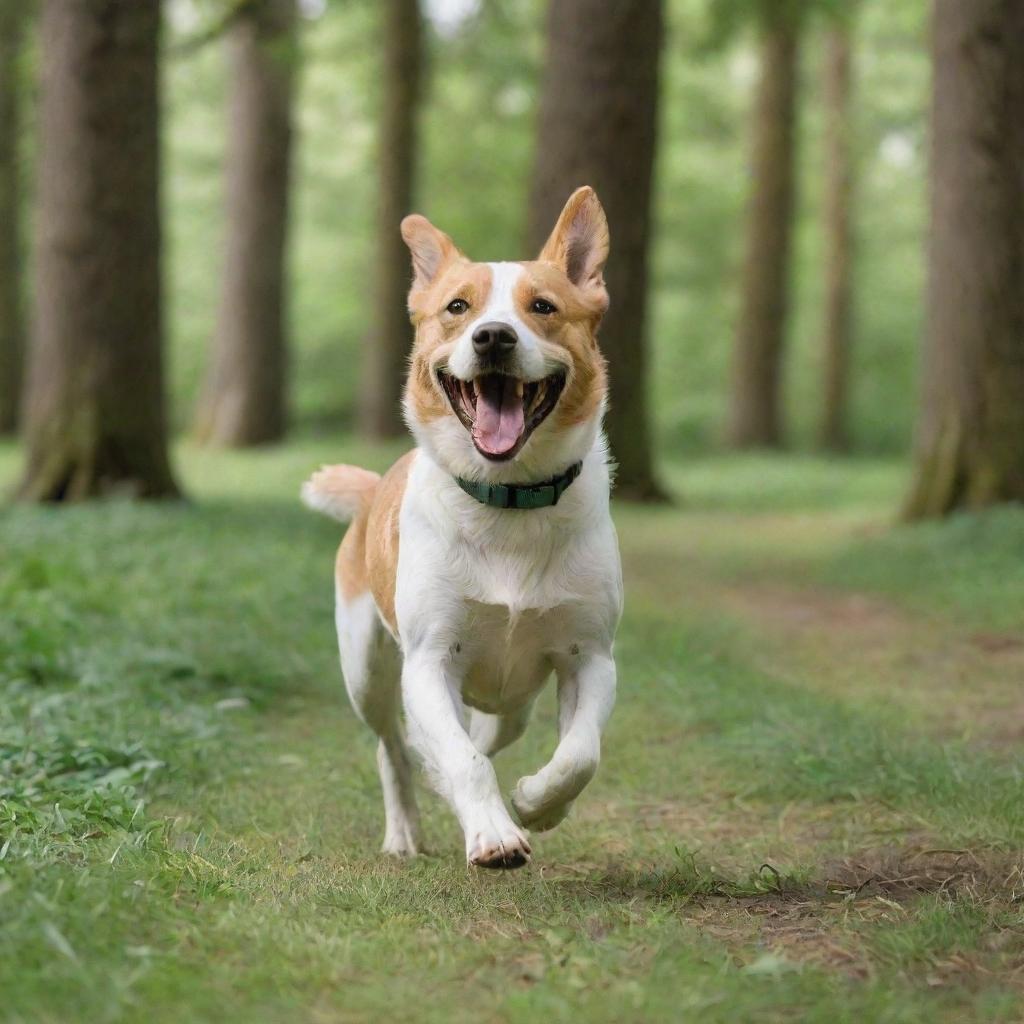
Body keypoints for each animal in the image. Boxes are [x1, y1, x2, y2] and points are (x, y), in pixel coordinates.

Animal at [301, 188, 622, 868]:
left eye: (542, 307)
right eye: (457, 306)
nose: (494, 336)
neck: (507, 500)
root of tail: (373, 487)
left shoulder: (590, 656)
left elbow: (580, 755)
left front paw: (537, 804)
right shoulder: (428, 662)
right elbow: (463, 760)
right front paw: (495, 834)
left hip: (513, 700)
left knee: (489, 730)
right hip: (365, 671)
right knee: (395, 748)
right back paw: (405, 829)